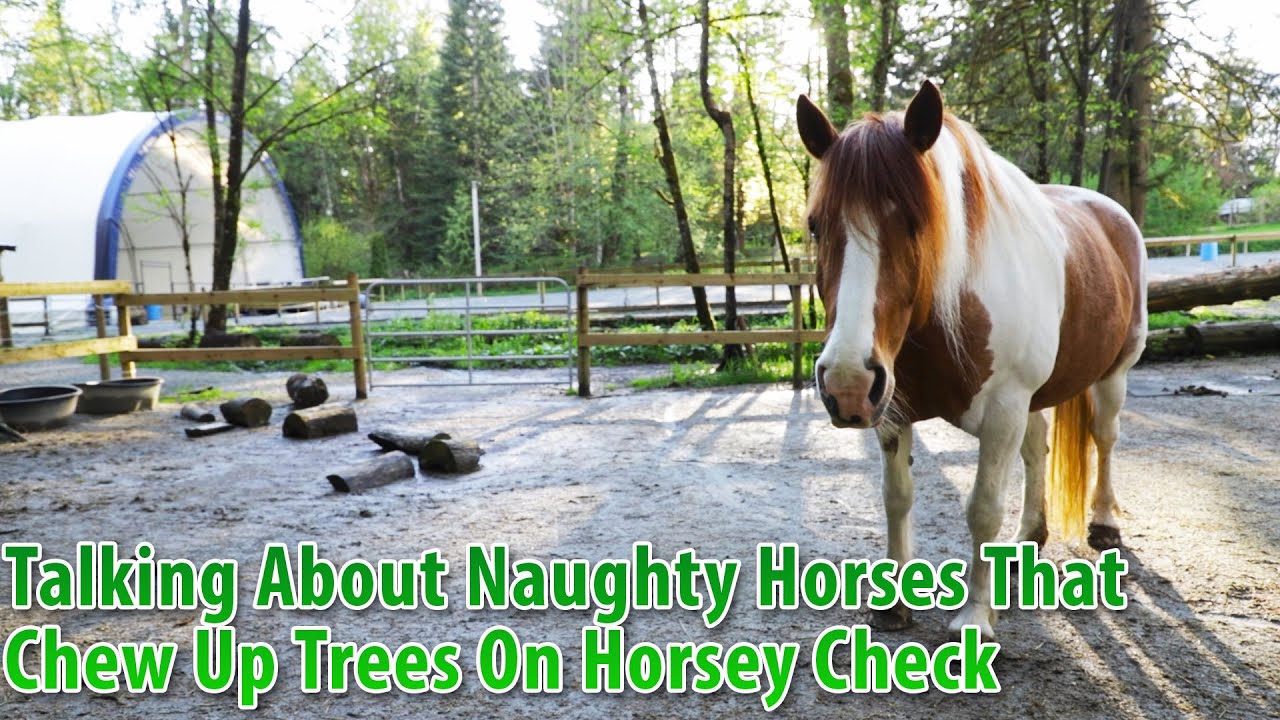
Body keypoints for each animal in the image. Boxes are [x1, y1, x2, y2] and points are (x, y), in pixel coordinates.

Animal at [796, 81, 1147, 639]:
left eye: (915, 221)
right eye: (815, 226)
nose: (846, 383)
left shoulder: (1003, 408)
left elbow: (982, 508)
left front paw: (977, 616)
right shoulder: (892, 412)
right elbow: (897, 496)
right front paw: (892, 604)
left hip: (1113, 372)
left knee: (1105, 437)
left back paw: (1104, 523)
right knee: (1037, 449)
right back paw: (1027, 540)